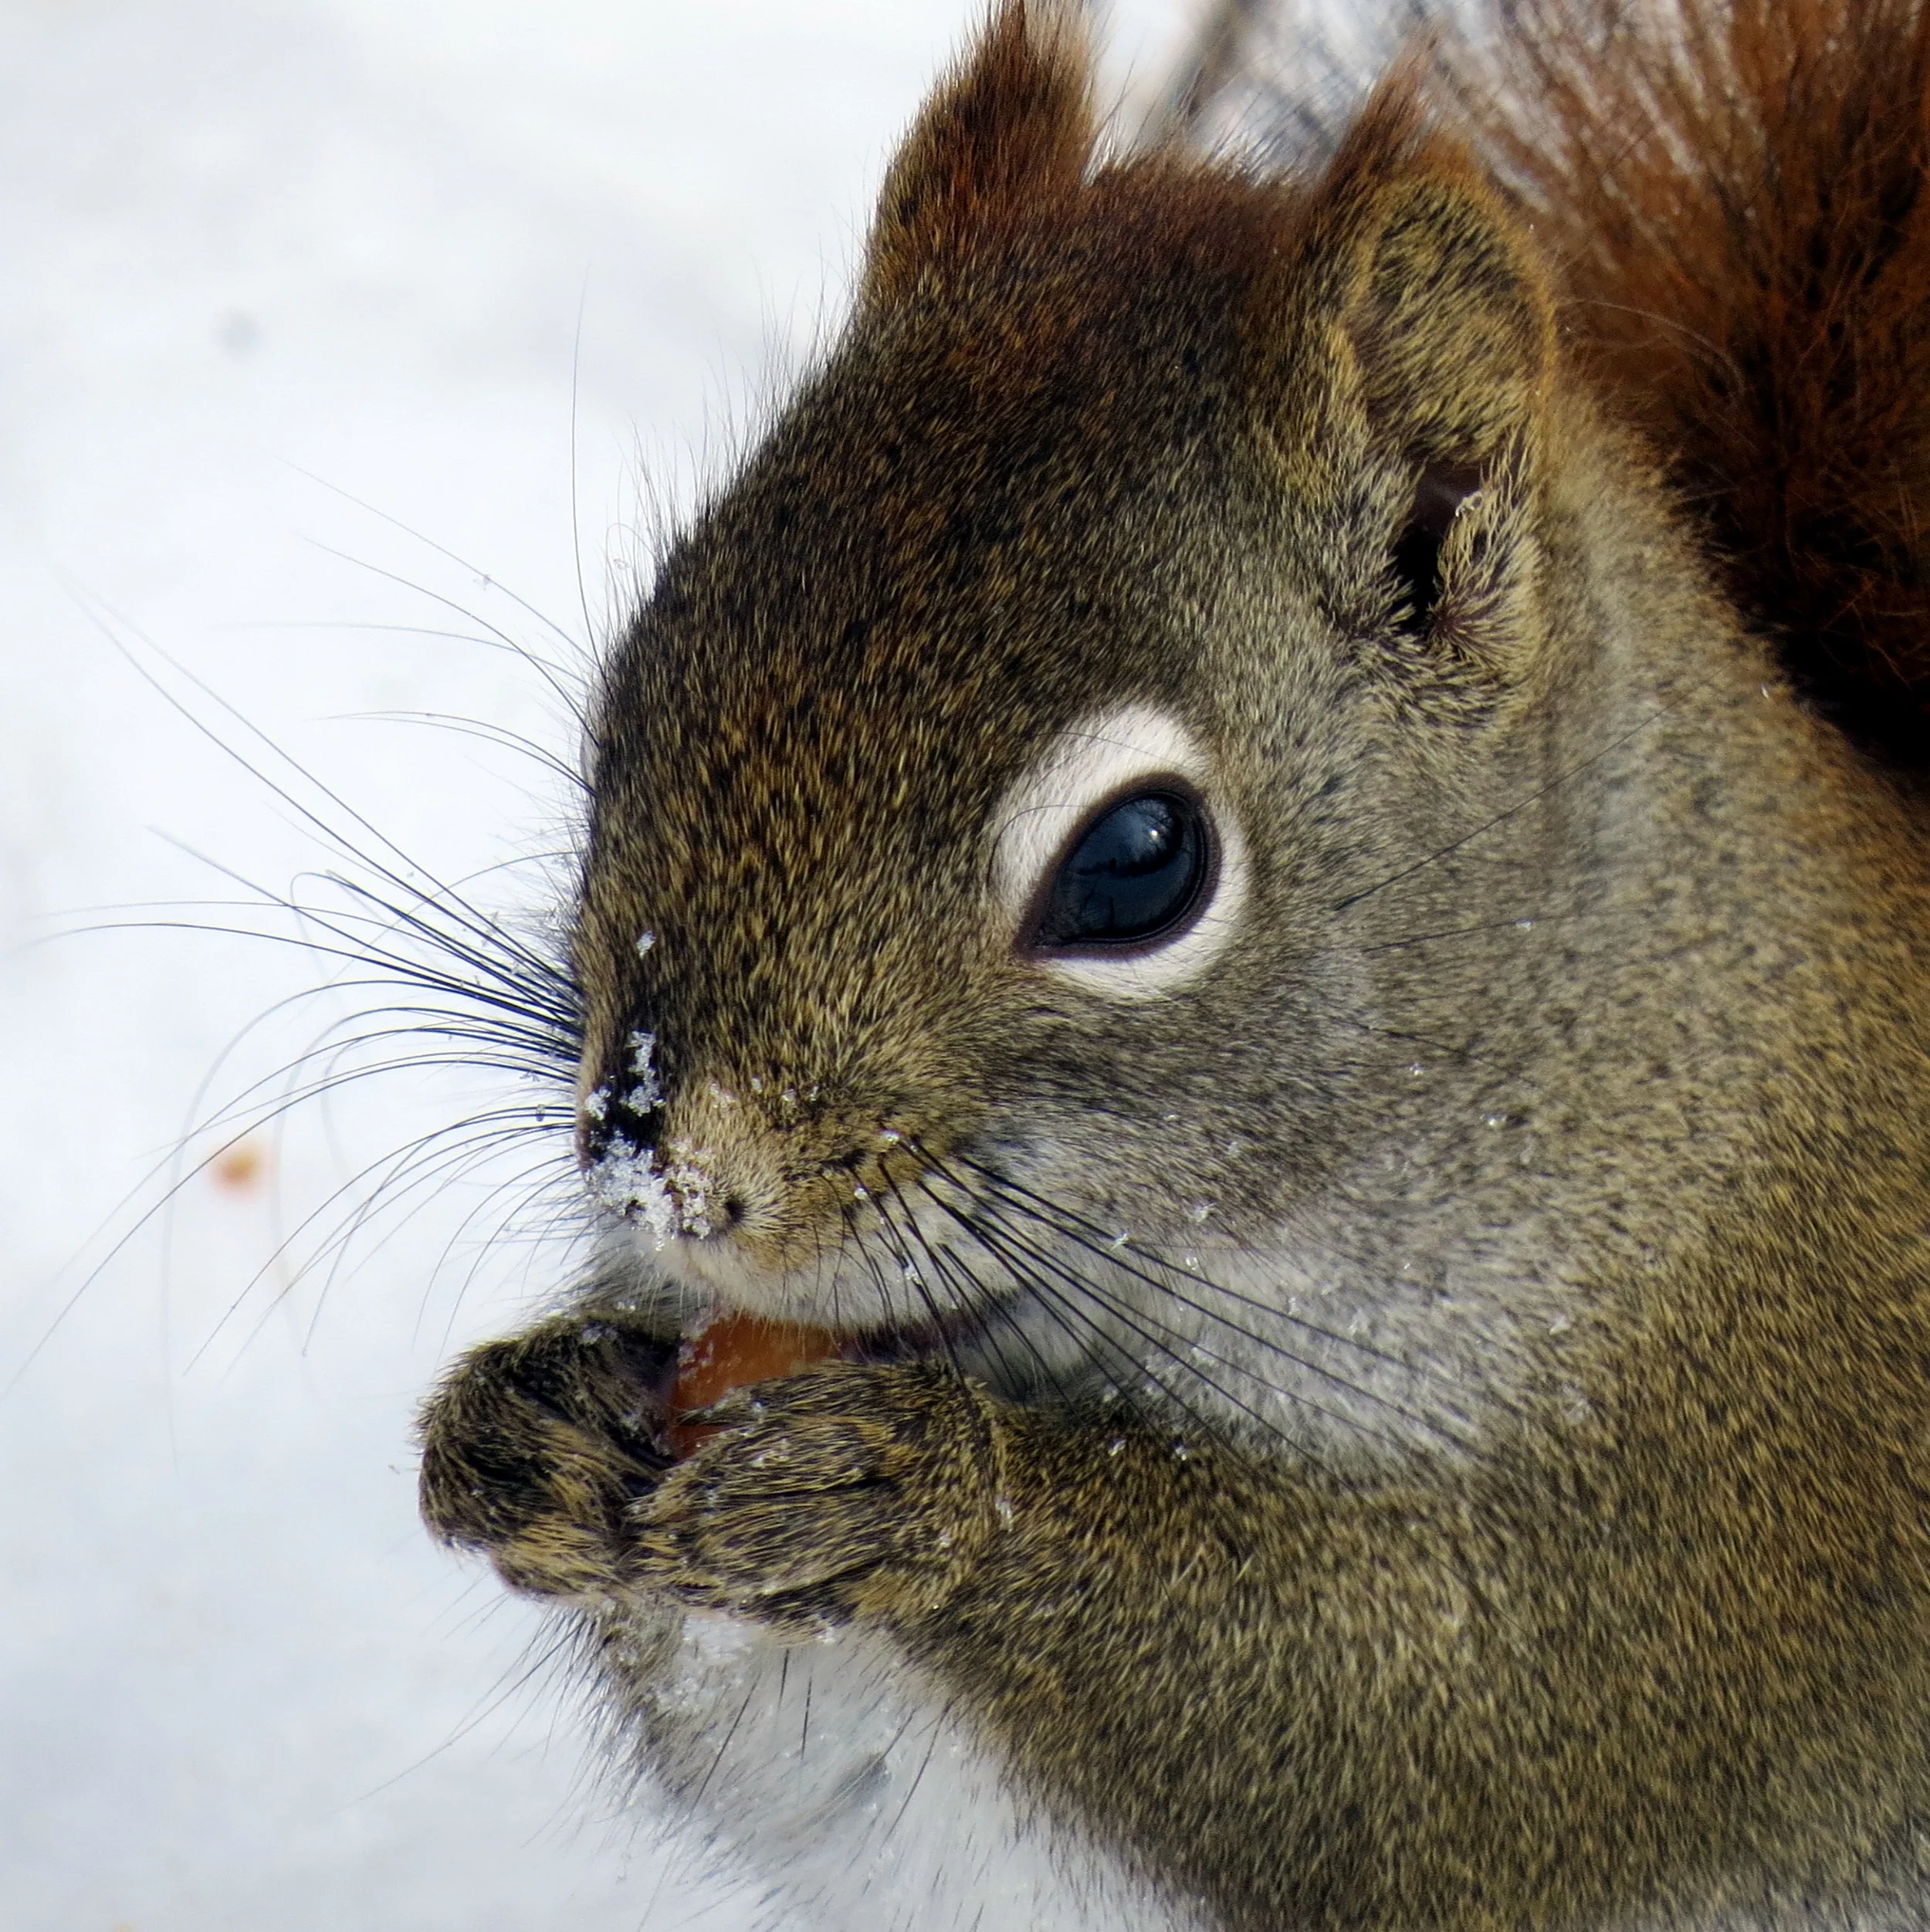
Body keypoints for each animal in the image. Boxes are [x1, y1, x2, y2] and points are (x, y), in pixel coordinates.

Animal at [416, 1, 1930, 1927]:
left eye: (1136, 865)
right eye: (637, 679)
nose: (656, 1160)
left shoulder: (1703, 1536)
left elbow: (1399, 1725)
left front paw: (914, 1489)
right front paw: (518, 1423)